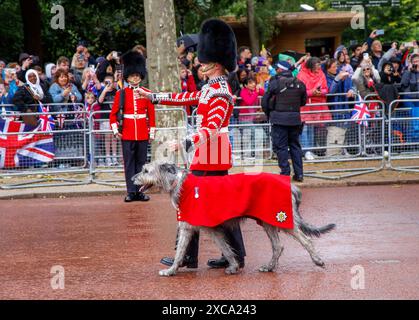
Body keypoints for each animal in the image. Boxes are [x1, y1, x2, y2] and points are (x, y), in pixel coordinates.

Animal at [133, 161, 336, 276]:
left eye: (146, 170)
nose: (133, 179)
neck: (178, 183)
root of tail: (290, 185)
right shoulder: (203, 228)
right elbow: (224, 247)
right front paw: (233, 266)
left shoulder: (194, 225)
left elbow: (180, 251)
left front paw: (170, 270)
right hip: (268, 221)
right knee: (278, 246)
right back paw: (269, 267)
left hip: (281, 218)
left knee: (306, 239)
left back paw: (317, 260)